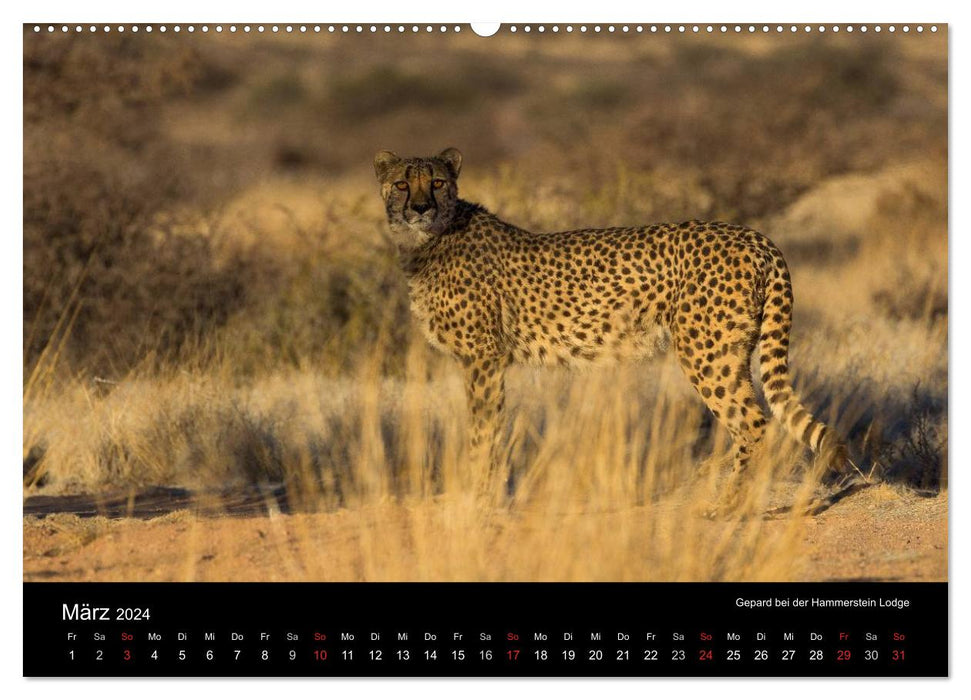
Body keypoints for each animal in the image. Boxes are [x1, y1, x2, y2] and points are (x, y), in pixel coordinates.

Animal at [372, 148, 852, 504]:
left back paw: (727, 508)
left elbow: (482, 432)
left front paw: (479, 497)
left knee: (753, 424)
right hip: (732, 350)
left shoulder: (483, 359)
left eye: (437, 182)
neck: (426, 242)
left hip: (706, 352)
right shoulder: (483, 360)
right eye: (402, 183)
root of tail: (755, 236)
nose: (420, 208)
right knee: (753, 423)